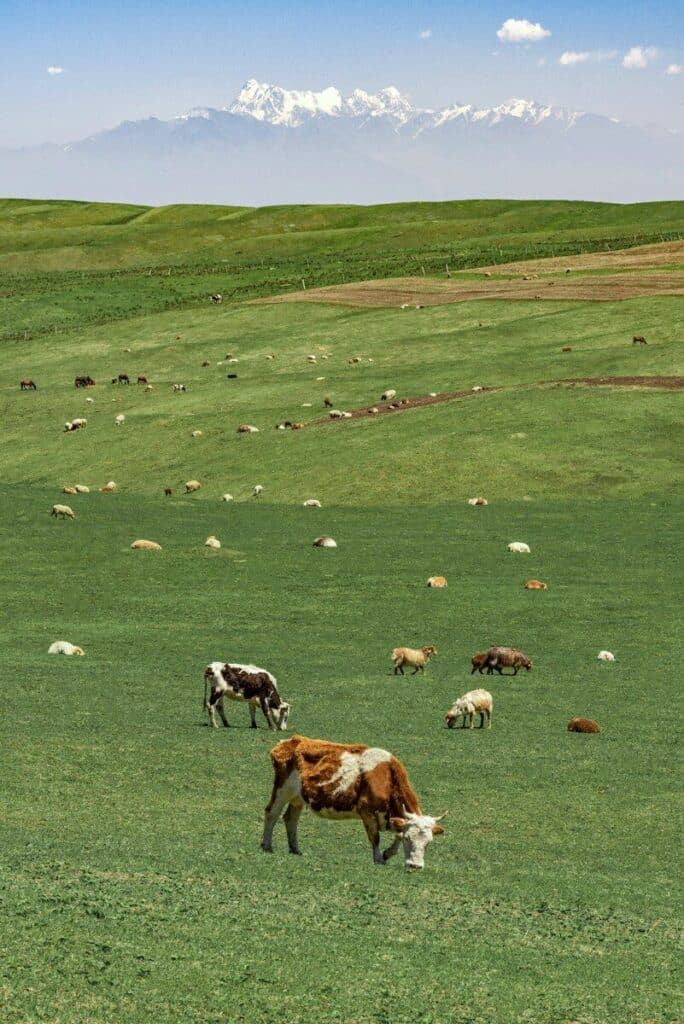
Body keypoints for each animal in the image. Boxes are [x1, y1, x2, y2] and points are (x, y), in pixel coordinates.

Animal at [261, 735, 446, 870]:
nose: (415, 866)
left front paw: (387, 854)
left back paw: (295, 849)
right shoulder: (366, 811)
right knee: (271, 813)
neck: (388, 777)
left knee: (290, 819)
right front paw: (378, 858)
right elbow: (375, 837)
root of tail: (291, 740)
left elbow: (396, 837)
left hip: (298, 798)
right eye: (409, 839)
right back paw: (266, 846)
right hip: (282, 789)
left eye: (428, 843)